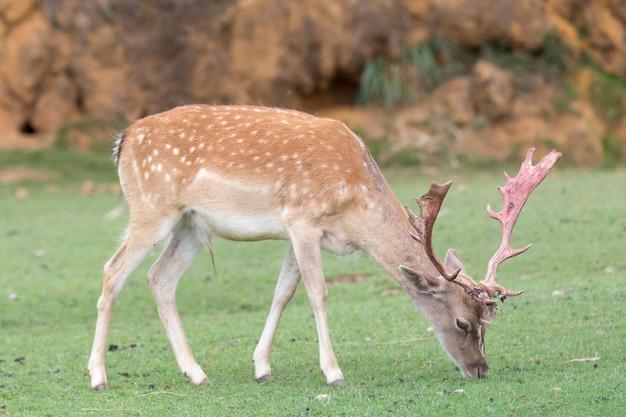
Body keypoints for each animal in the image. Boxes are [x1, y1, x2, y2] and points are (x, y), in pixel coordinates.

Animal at [85, 102, 560, 388]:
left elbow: (282, 292)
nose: (480, 370)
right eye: (462, 322)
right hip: (151, 208)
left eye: (487, 324)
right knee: (111, 272)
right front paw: (333, 373)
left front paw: (262, 367)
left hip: (190, 226)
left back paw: (196, 373)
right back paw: (98, 376)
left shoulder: (299, 233)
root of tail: (122, 141)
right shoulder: (302, 220)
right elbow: (318, 294)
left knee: (159, 278)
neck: (355, 209)